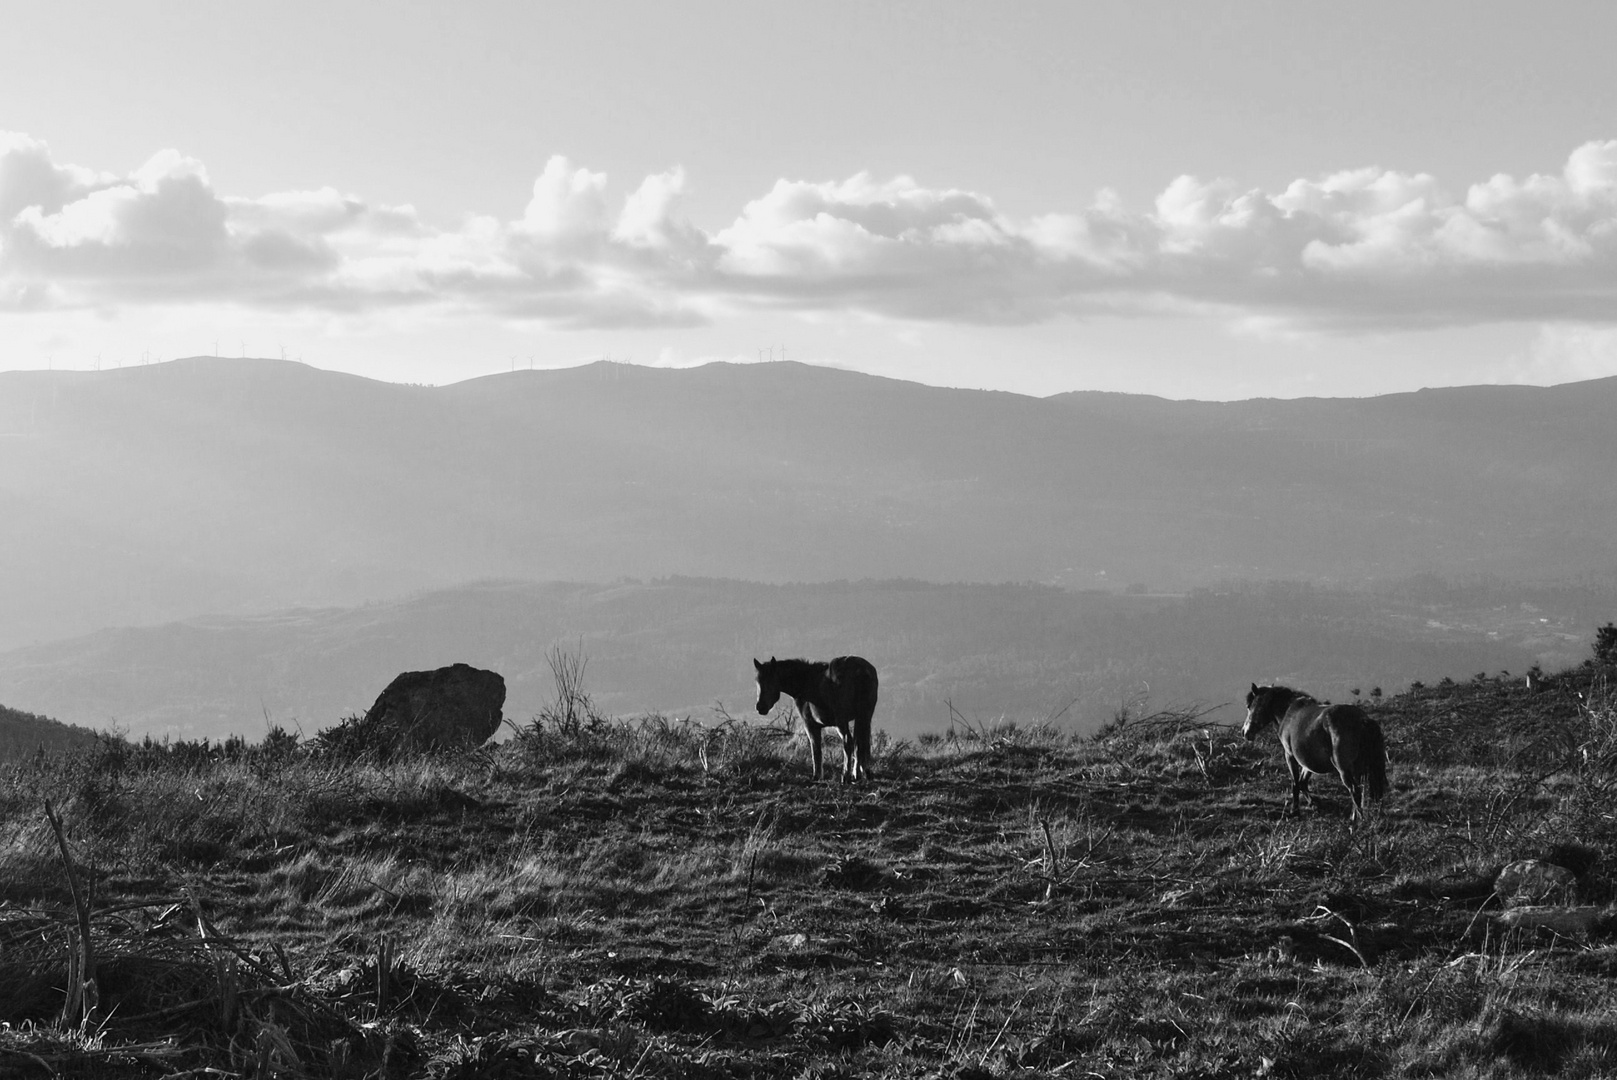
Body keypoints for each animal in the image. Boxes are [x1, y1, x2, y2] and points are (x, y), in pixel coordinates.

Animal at [750, 653, 879, 779]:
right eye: (757, 681)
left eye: (771, 681)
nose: (760, 707)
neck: (806, 682)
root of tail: (861, 671)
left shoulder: (810, 724)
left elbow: (815, 749)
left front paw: (816, 776)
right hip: (864, 717)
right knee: (861, 744)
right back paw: (860, 774)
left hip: (841, 721)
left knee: (848, 742)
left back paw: (845, 776)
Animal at [1235, 682, 1390, 818]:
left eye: (1249, 706)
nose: (1245, 732)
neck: (1288, 712)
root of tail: (1363, 721)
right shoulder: (1307, 762)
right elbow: (1303, 782)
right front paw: (1314, 805)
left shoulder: (1290, 756)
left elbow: (1295, 783)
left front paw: (1295, 811)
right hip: (1359, 768)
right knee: (1360, 791)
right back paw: (1355, 816)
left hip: (1344, 770)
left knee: (1354, 790)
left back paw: (1357, 821)